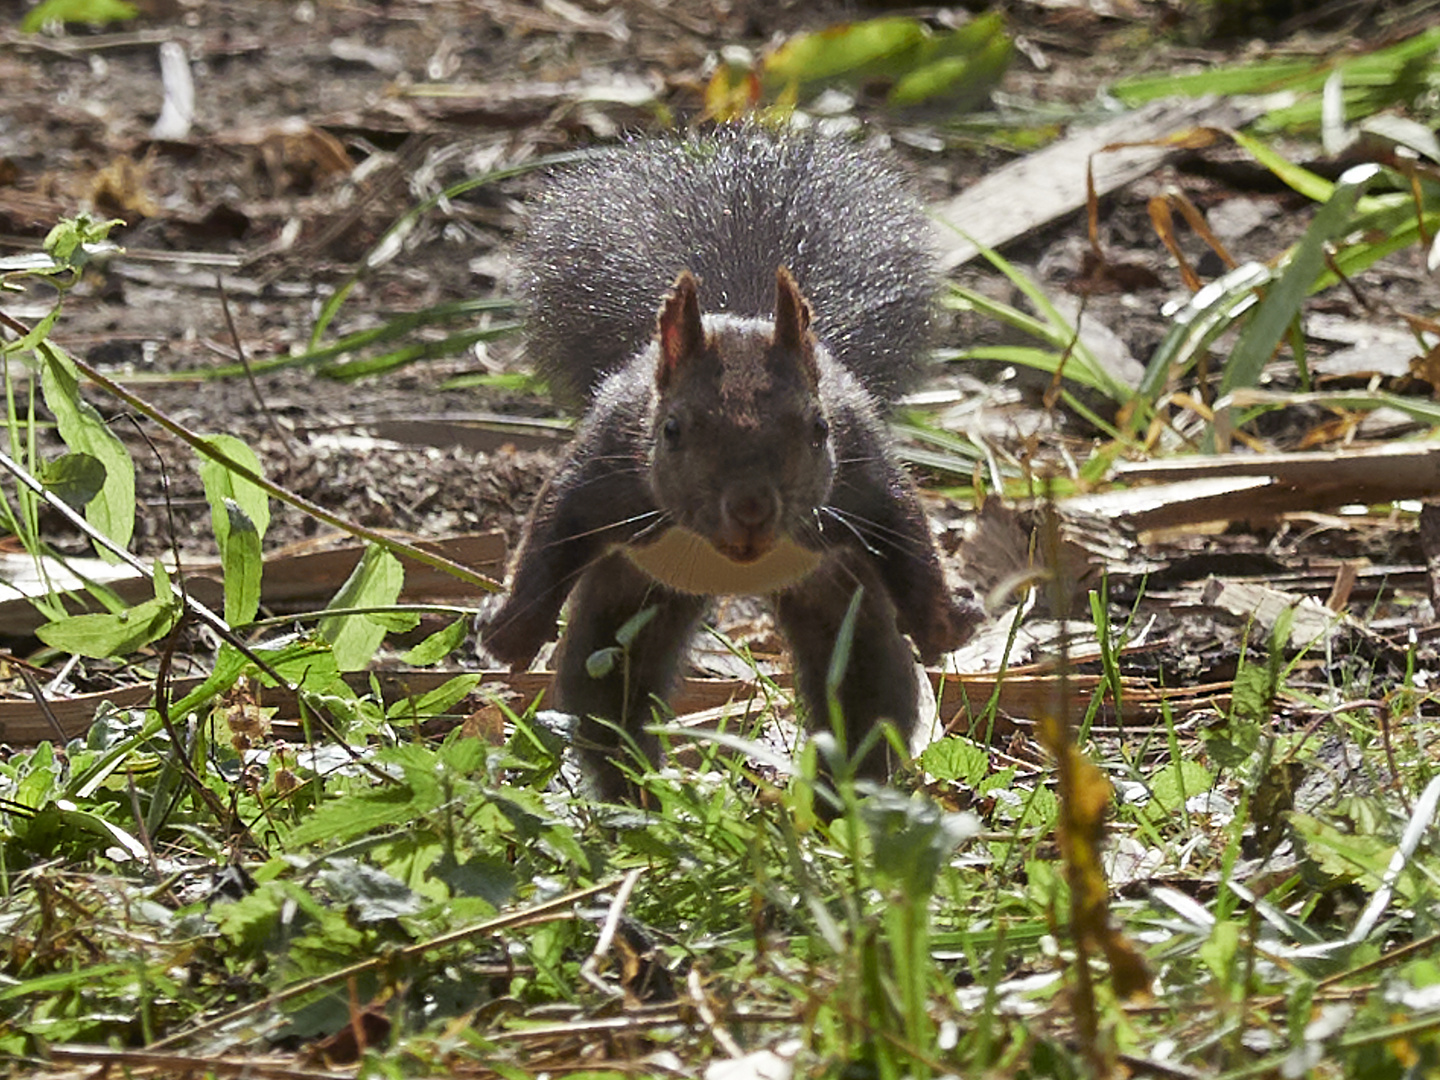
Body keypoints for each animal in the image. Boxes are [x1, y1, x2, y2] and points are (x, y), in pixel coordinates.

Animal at [478, 126, 984, 806]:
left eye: (818, 430)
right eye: (671, 431)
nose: (750, 510)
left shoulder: (864, 473)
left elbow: (909, 533)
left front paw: (944, 624)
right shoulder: (601, 468)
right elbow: (550, 530)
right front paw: (509, 632)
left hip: (834, 597)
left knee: (865, 697)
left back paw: (838, 803)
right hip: (637, 599)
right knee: (610, 698)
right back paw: (638, 800)